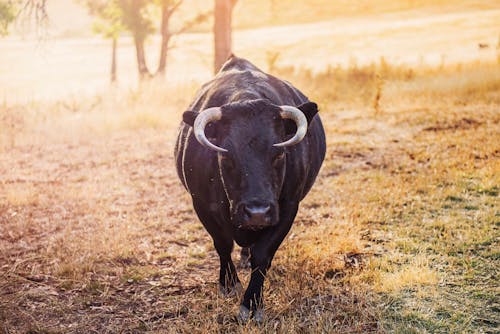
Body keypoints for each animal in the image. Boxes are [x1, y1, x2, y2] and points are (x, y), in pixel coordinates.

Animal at [174, 56, 326, 322]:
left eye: (279, 154)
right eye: (226, 157)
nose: (257, 212)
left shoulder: (287, 207)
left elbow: (262, 254)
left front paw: (252, 303)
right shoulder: (202, 205)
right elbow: (222, 244)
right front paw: (229, 284)